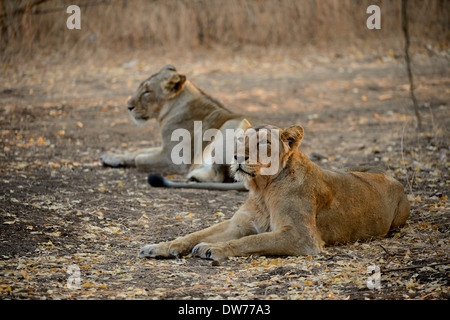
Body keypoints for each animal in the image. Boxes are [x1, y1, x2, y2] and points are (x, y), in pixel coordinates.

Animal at [98, 64, 260, 184]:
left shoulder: (173, 158)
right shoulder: (164, 147)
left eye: (147, 91)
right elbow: (137, 151)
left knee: (220, 176)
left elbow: (140, 159)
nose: (128, 106)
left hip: (230, 126)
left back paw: (194, 175)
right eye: (141, 88)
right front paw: (110, 157)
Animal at [139, 122, 410, 260]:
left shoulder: (302, 237)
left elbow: (252, 240)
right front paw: (159, 247)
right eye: (240, 140)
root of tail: (391, 177)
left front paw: (213, 249)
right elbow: (194, 234)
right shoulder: (238, 224)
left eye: (264, 143)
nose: (237, 156)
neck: (262, 190)